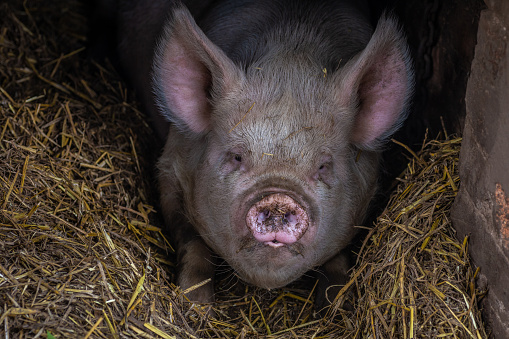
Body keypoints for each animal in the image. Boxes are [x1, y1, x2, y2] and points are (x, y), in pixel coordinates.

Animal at [114, 0, 412, 308]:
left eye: (323, 166)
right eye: (236, 157)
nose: (279, 196)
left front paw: (335, 307)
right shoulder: (170, 168)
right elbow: (191, 240)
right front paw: (196, 303)